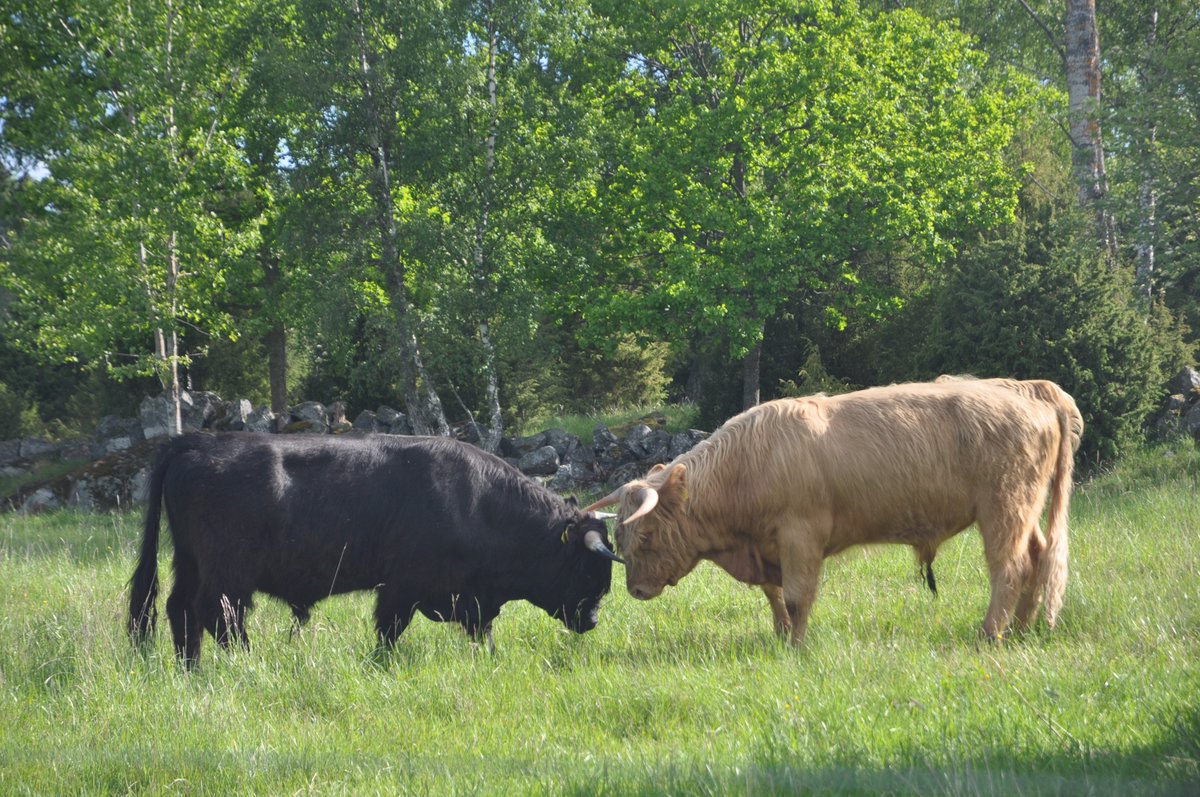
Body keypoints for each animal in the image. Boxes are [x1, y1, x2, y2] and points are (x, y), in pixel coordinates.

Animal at [127, 432, 624, 662]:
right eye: (588, 569)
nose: (592, 621)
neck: (480, 503)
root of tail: (196, 442)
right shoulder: (403, 589)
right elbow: (389, 629)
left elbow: (481, 630)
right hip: (228, 574)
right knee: (218, 615)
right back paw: (248, 661)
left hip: (189, 563)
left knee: (180, 611)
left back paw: (191, 669)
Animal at [590, 381, 1080, 648]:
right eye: (621, 540)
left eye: (647, 535)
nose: (635, 590)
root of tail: (1033, 394)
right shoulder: (769, 546)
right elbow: (774, 596)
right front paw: (781, 637)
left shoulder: (799, 535)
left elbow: (796, 595)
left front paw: (797, 647)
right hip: (1024, 510)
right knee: (1037, 559)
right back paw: (1021, 631)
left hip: (1004, 507)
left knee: (1009, 568)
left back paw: (989, 635)